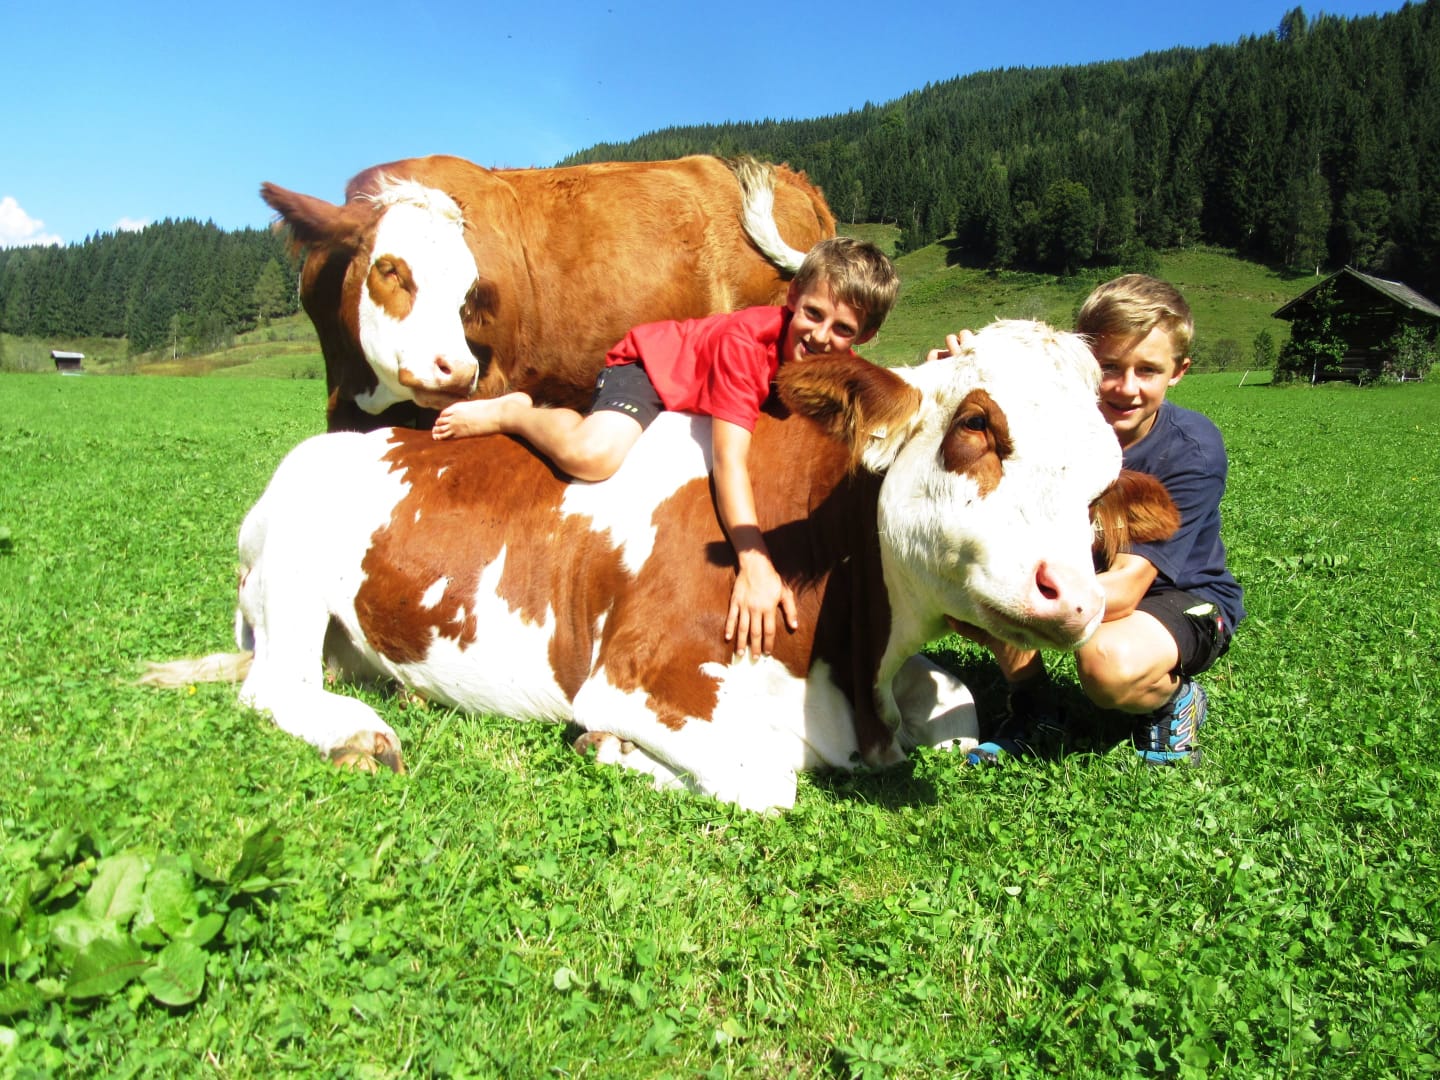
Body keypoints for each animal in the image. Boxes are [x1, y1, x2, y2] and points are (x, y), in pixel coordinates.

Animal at [145, 320, 1152, 812]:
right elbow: (764, 783)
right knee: (271, 687)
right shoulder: (635, 678)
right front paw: (612, 752)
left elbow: (962, 705)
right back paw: (360, 734)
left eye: (1104, 474)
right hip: (291, 572)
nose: (1072, 593)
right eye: (977, 425)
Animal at [260, 154, 836, 432]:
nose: (454, 369)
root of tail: (792, 176)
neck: (365, 382)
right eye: (388, 268)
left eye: (468, 289)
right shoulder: (344, 406)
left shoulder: (488, 386)